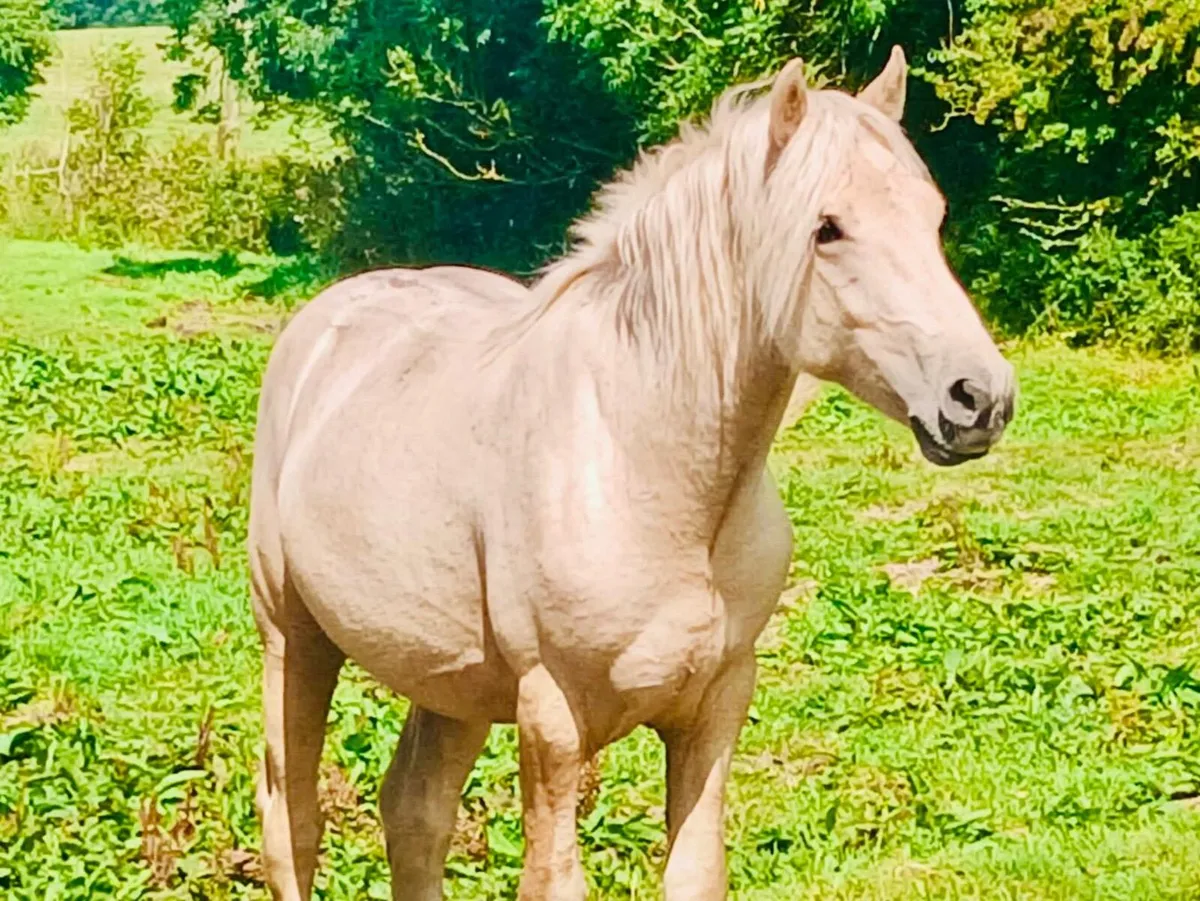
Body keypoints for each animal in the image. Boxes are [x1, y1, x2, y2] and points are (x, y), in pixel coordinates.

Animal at [246, 47, 1016, 901]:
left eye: (932, 217)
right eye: (827, 228)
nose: (978, 397)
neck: (641, 466)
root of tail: (327, 320)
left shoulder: (716, 705)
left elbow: (695, 871)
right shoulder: (553, 720)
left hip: (451, 682)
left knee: (414, 810)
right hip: (295, 639)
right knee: (292, 820)